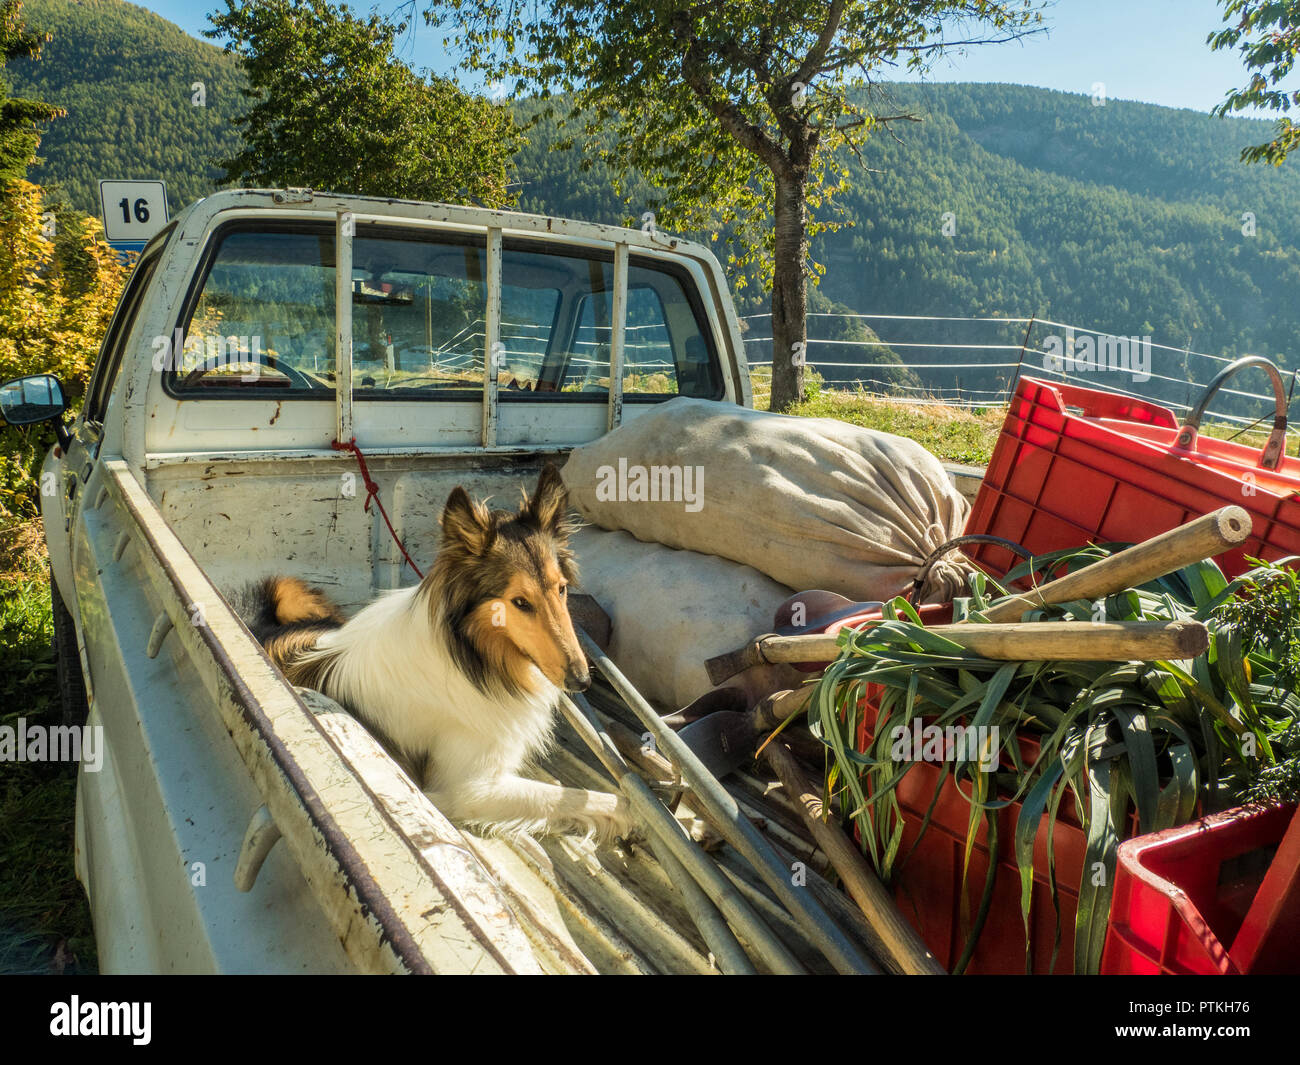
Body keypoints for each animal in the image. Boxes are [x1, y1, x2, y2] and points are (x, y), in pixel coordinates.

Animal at [241, 465, 637, 842]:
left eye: (562, 589)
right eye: (520, 602)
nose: (582, 681)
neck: (472, 655)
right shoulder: (470, 788)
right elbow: (587, 797)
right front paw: (627, 818)